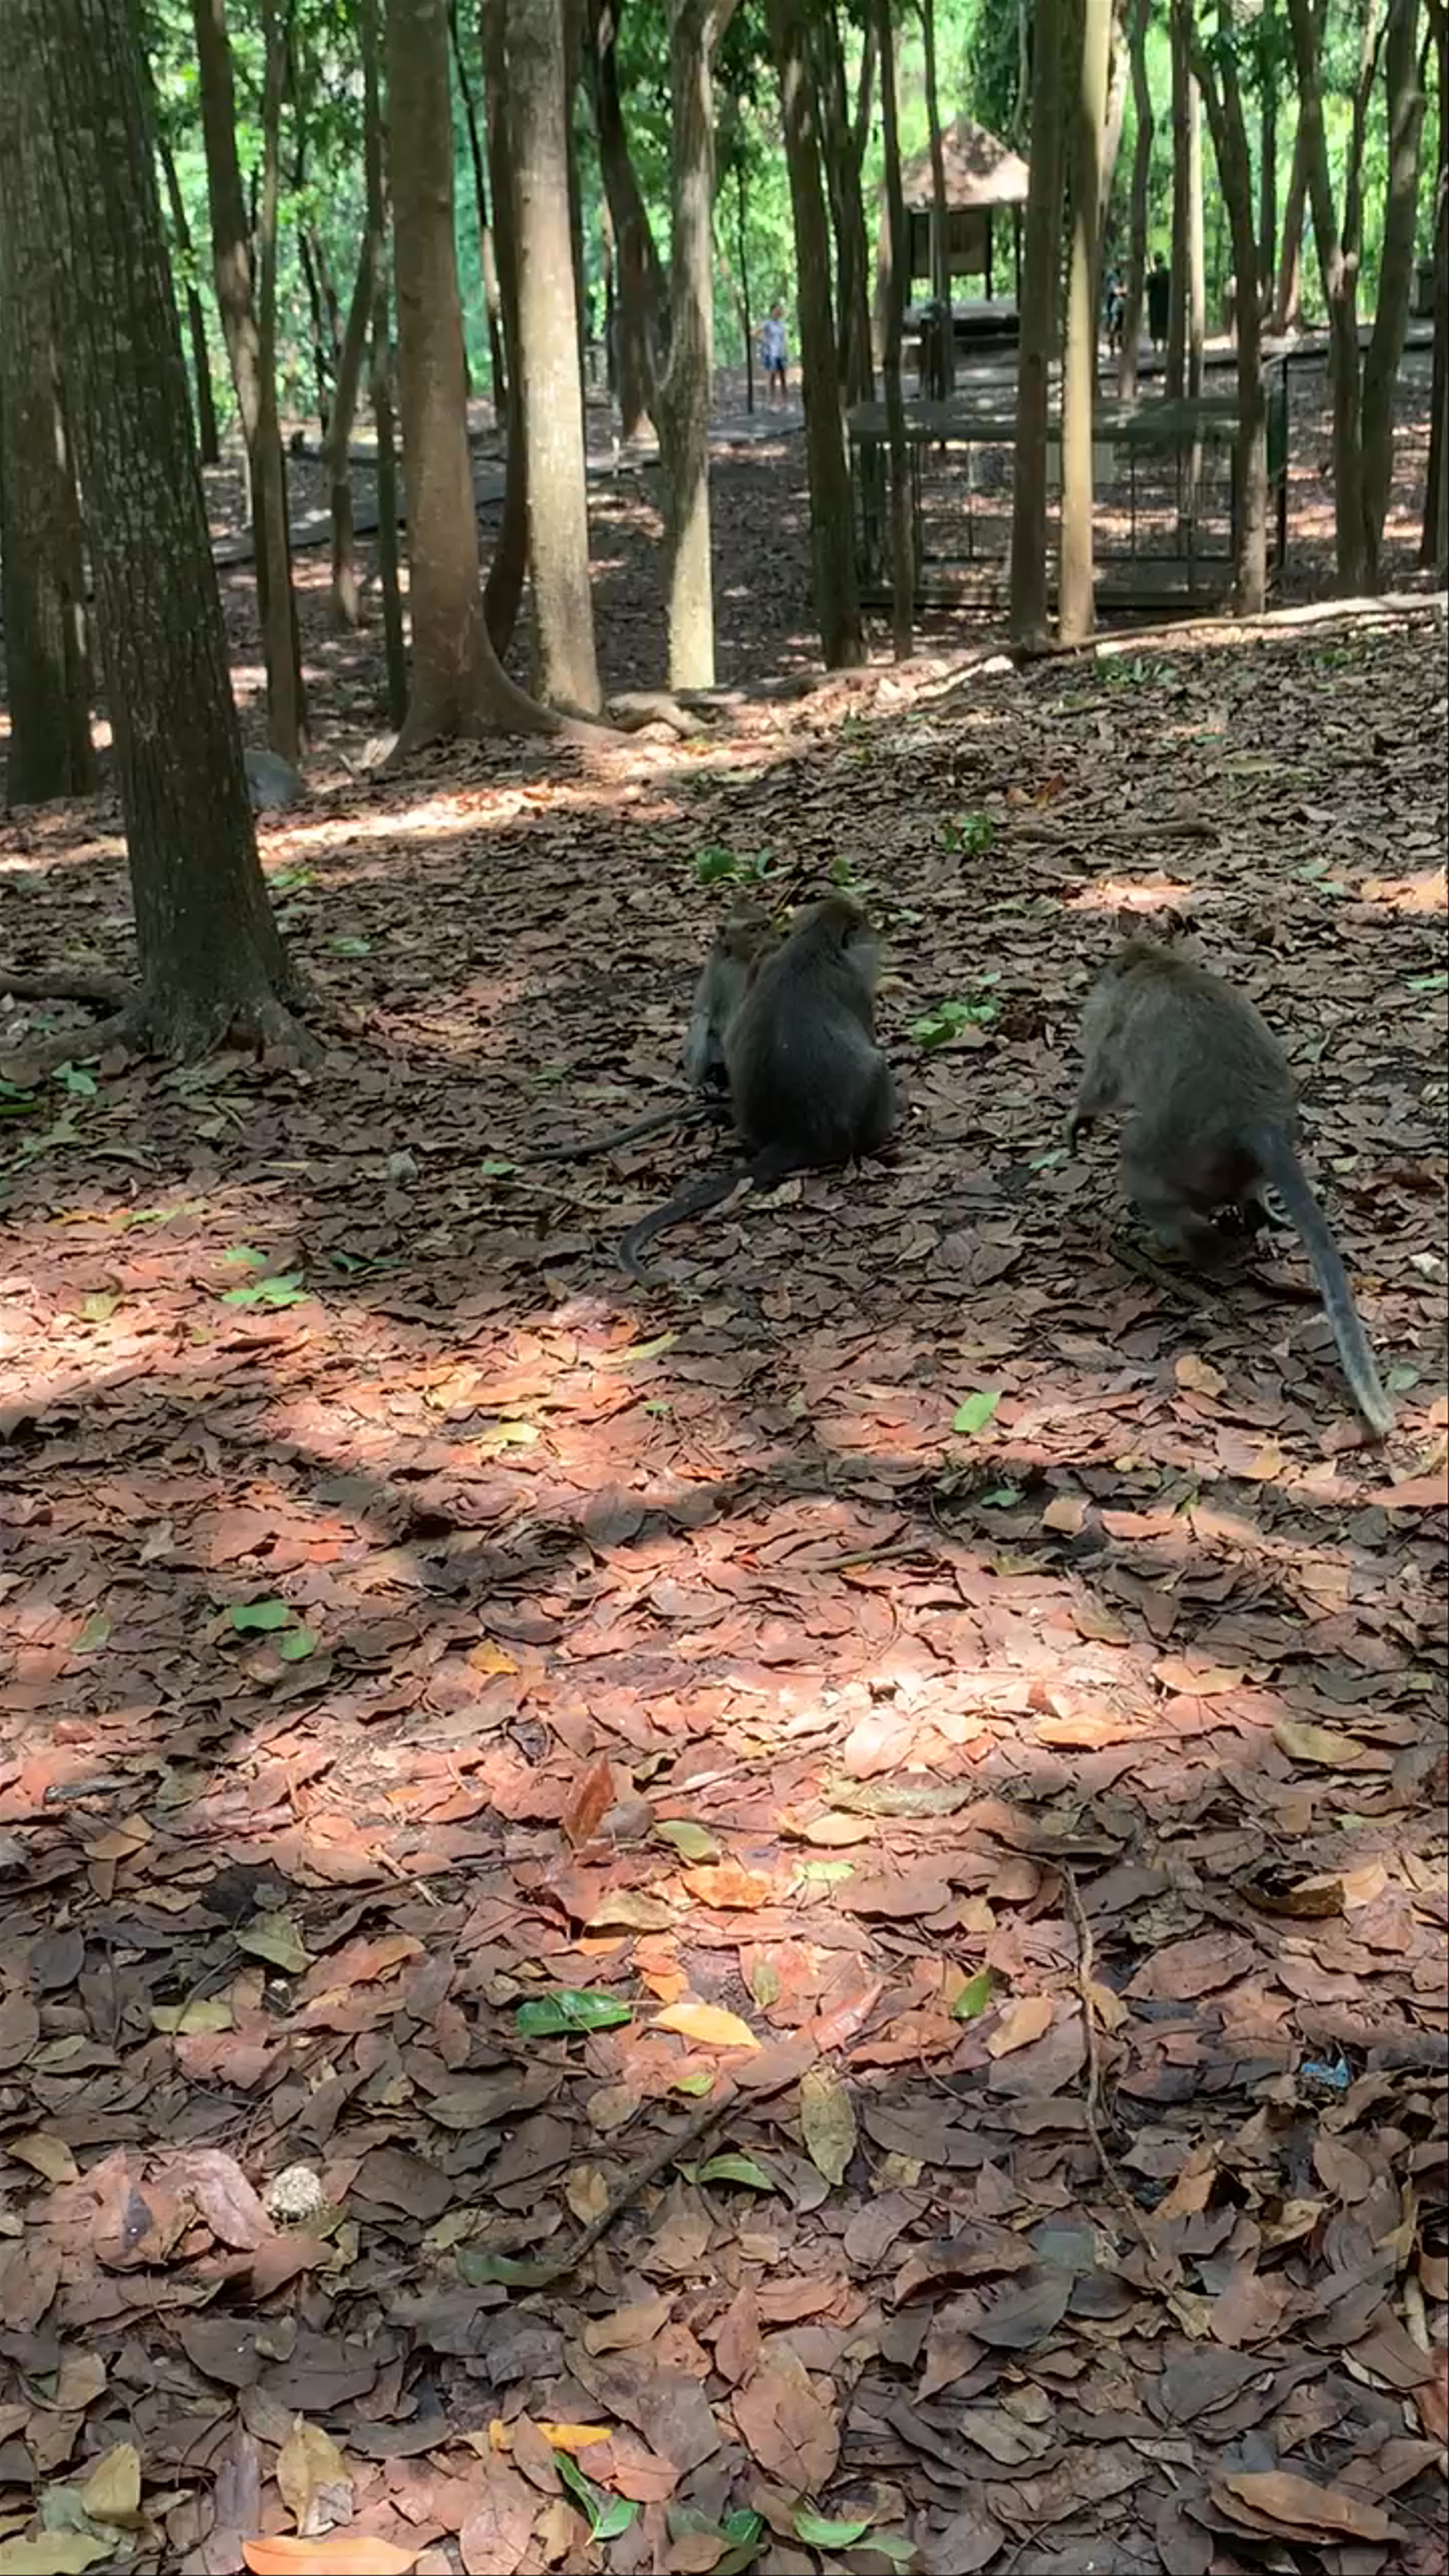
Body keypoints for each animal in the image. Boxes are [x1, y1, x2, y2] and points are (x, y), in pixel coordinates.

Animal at [1067, 939, 1394, 1438]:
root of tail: (1257, 1120)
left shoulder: (1110, 1022)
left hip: (1180, 1152)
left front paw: (1079, 1115)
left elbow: (1103, 1086)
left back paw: (1181, 1241)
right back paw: (1253, 1213)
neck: (1159, 964)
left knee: (1139, 1155)